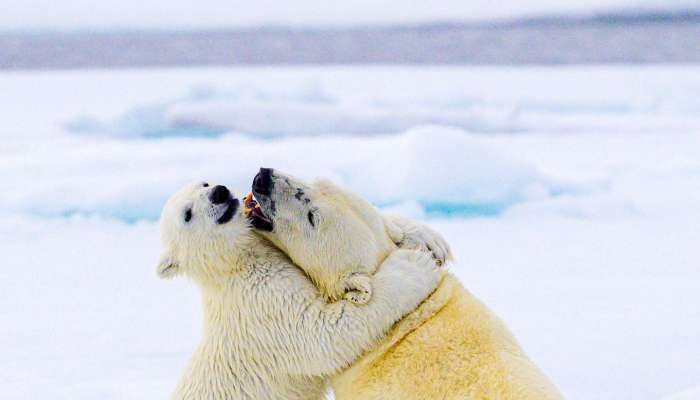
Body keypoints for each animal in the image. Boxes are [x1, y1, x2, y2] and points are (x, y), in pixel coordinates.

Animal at [158, 182, 442, 400]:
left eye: (204, 183)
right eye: (187, 214)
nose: (219, 191)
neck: (234, 264)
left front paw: (429, 240)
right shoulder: (265, 306)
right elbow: (325, 334)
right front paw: (414, 265)